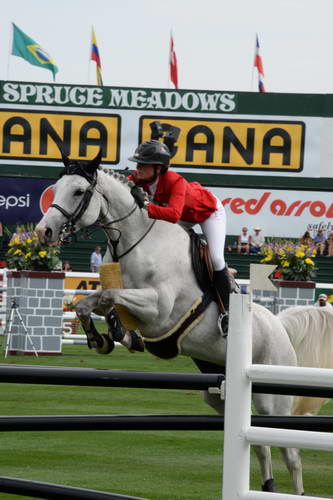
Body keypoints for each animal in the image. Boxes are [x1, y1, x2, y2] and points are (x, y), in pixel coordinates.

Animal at [35, 153, 304, 496]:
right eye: (56, 188)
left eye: (79, 191)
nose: (44, 232)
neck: (135, 240)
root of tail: (280, 327)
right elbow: (91, 302)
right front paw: (103, 338)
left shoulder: (159, 310)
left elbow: (111, 296)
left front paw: (117, 334)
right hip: (219, 393)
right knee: (259, 445)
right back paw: (268, 486)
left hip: (273, 400)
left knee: (290, 452)